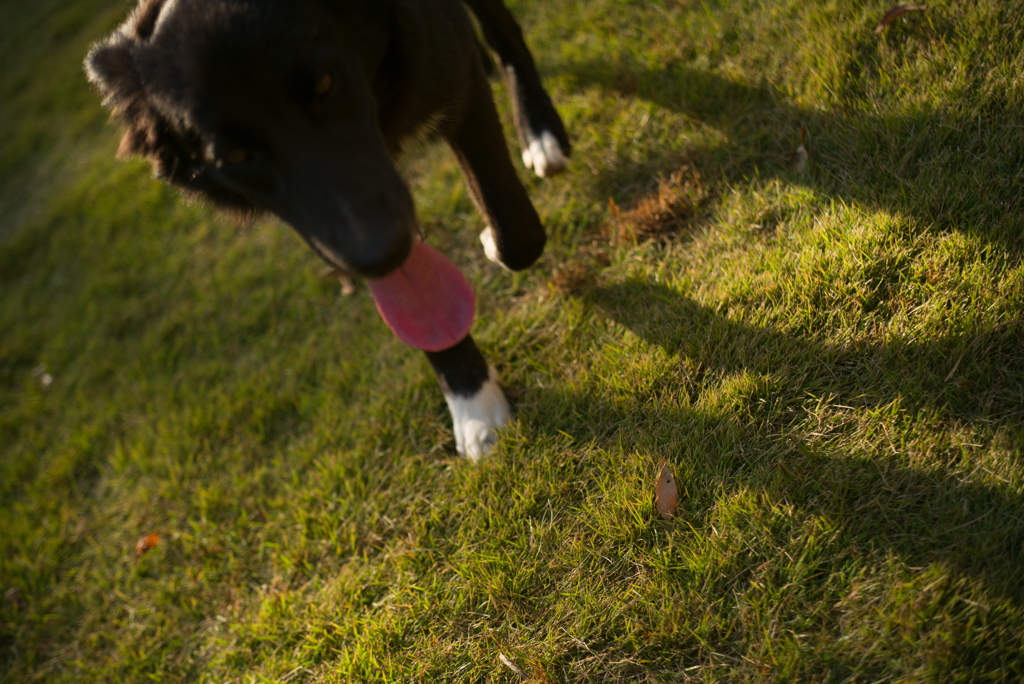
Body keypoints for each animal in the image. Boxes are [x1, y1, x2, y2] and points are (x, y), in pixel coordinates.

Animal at [84, 1, 573, 458]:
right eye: (236, 157)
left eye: (325, 85)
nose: (381, 254)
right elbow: (420, 309)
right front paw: (473, 406)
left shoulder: (457, 85)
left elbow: (516, 233)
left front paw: (491, 239)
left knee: (503, 29)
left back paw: (540, 130)